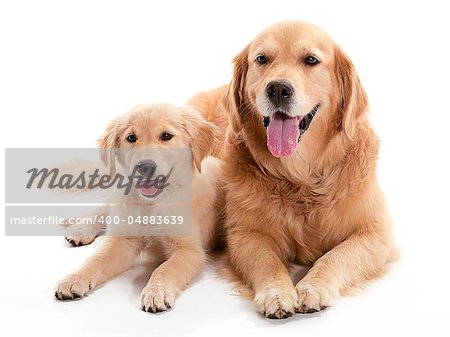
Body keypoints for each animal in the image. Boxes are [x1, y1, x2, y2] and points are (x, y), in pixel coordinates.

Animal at [54, 103, 223, 312]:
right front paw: (74, 279)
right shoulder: (122, 240)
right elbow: (96, 259)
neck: (151, 205)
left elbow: (165, 269)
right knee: (104, 207)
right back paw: (81, 229)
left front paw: (156, 291)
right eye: (131, 138)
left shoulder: (190, 250)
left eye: (166, 136)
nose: (145, 166)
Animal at [189, 21, 398, 318]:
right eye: (262, 59)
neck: (301, 180)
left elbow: (337, 256)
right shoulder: (244, 234)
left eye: (310, 60)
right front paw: (277, 293)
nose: (278, 89)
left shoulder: (376, 233)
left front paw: (313, 286)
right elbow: (267, 261)